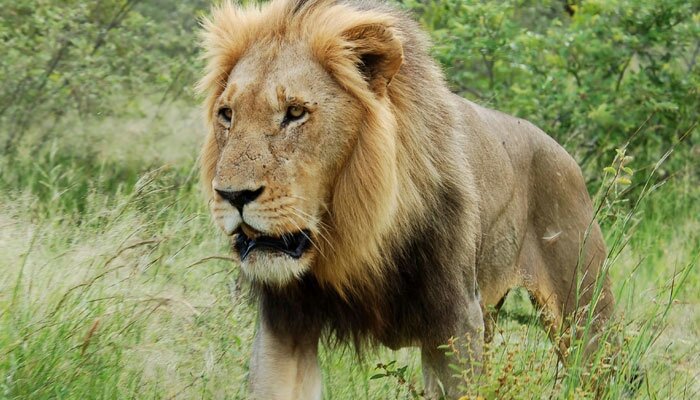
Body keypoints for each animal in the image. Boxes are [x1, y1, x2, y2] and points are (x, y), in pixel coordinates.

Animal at [196, 0, 612, 396]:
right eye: (227, 114)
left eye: (295, 112)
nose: (233, 195)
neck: (354, 237)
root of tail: (567, 157)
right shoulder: (285, 325)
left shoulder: (456, 322)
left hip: (585, 320)